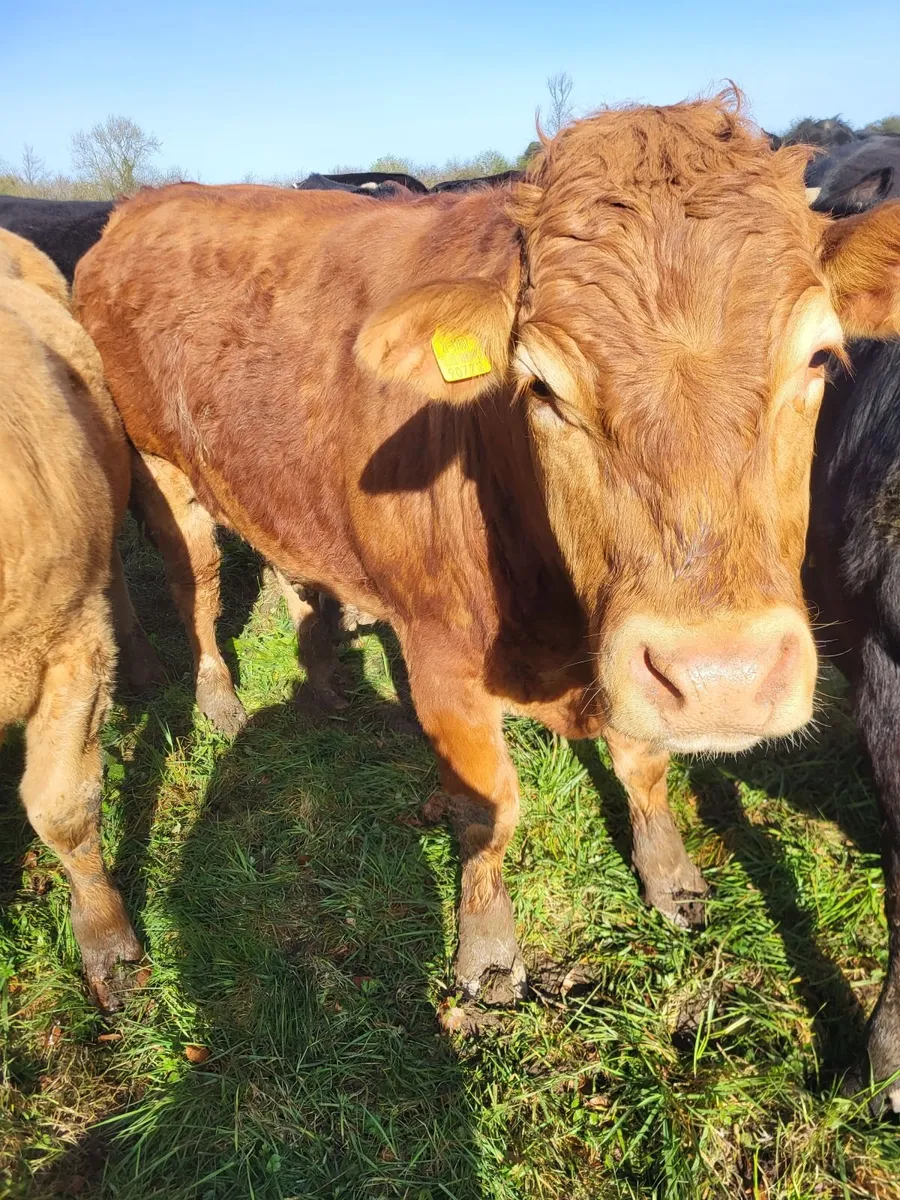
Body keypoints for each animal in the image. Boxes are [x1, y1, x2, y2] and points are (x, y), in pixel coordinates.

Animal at [73, 92, 900, 1005]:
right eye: (541, 386)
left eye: (820, 357)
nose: (725, 676)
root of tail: (145, 204)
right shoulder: (440, 659)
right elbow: (487, 809)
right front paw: (489, 947)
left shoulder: (626, 660)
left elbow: (645, 764)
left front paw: (670, 876)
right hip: (157, 467)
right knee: (199, 583)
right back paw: (219, 699)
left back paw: (322, 682)